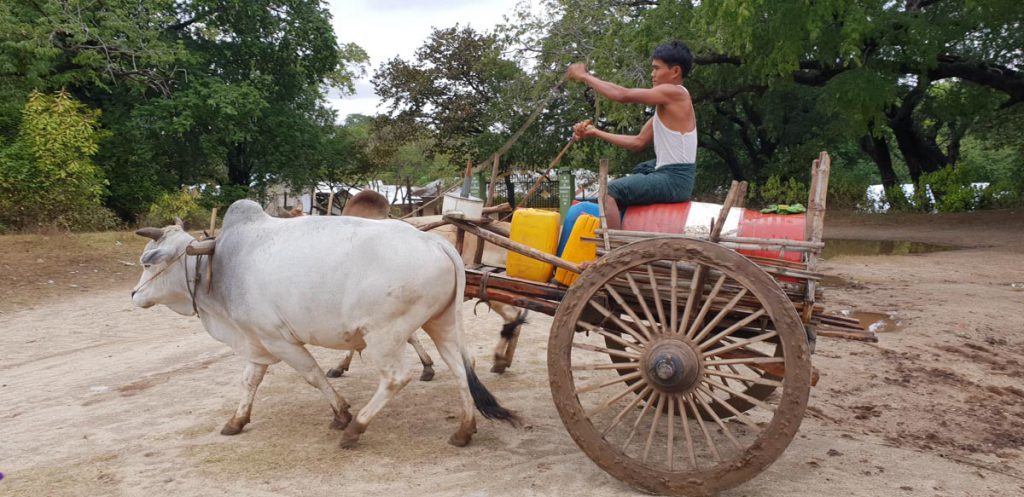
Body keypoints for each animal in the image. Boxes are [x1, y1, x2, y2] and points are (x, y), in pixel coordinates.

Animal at [131, 200, 518, 448]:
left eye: (149, 263)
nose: (134, 294)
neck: (219, 262)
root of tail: (437, 243)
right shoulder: (257, 341)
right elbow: (250, 380)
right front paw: (237, 421)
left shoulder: (279, 340)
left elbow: (312, 375)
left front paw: (342, 413)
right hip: (441, 322)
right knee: (460, 368)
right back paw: (465, 430)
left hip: (385, 334)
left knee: (396, 377)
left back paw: (357, 429)